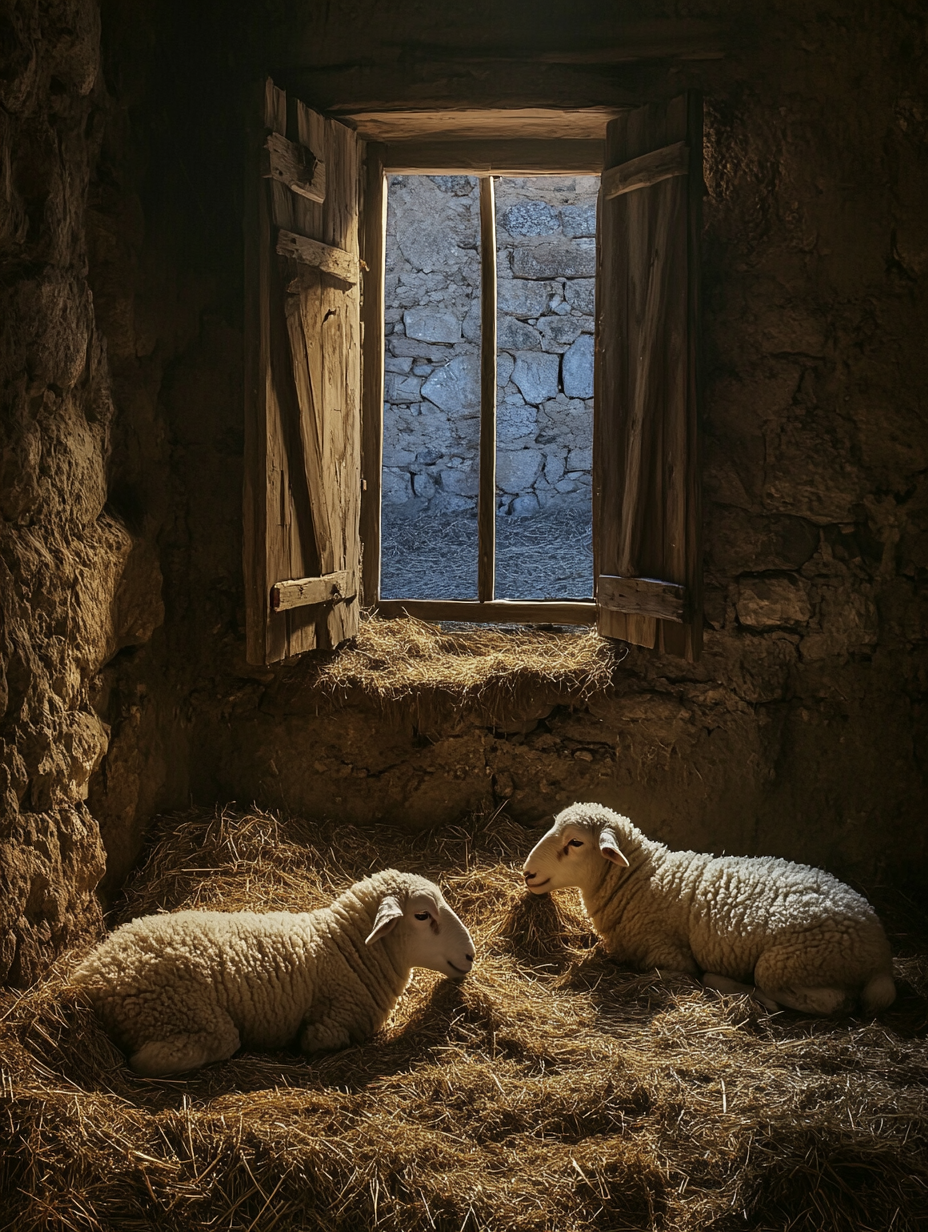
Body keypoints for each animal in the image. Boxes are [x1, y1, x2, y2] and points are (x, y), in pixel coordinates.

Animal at [73, 867, 473, 1079]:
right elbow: (318, 1040)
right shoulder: (328, 1027)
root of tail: (90, 972)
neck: (346, 949)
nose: (470, 955)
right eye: (422, 915)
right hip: (175, 1011)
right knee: (149, 1059)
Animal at [522, 803, 892, 1015]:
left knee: (834, 1002)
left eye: (575, 842)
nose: (527, 873)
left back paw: (741, 989)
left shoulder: (668, 956)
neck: (641, 879)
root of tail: (880, 953)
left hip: (791, 960)